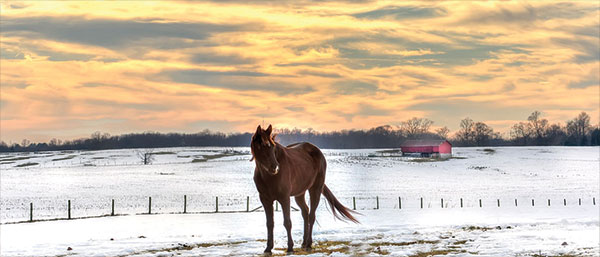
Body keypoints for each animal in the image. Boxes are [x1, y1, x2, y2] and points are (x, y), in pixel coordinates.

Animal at [248, 124, 356, 252]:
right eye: (261, 146)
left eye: (273, 146)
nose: (275, 167)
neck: (268, 176)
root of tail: (317, 151)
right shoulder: (265, 200)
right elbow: (270, 223)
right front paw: (268, 248)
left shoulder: (284, 198)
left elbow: (287, 222)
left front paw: (290, 247)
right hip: (299, 194)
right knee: (305, 212)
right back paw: (304, 243)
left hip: (315, 189)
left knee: (311, 216)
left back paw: (308, 243)